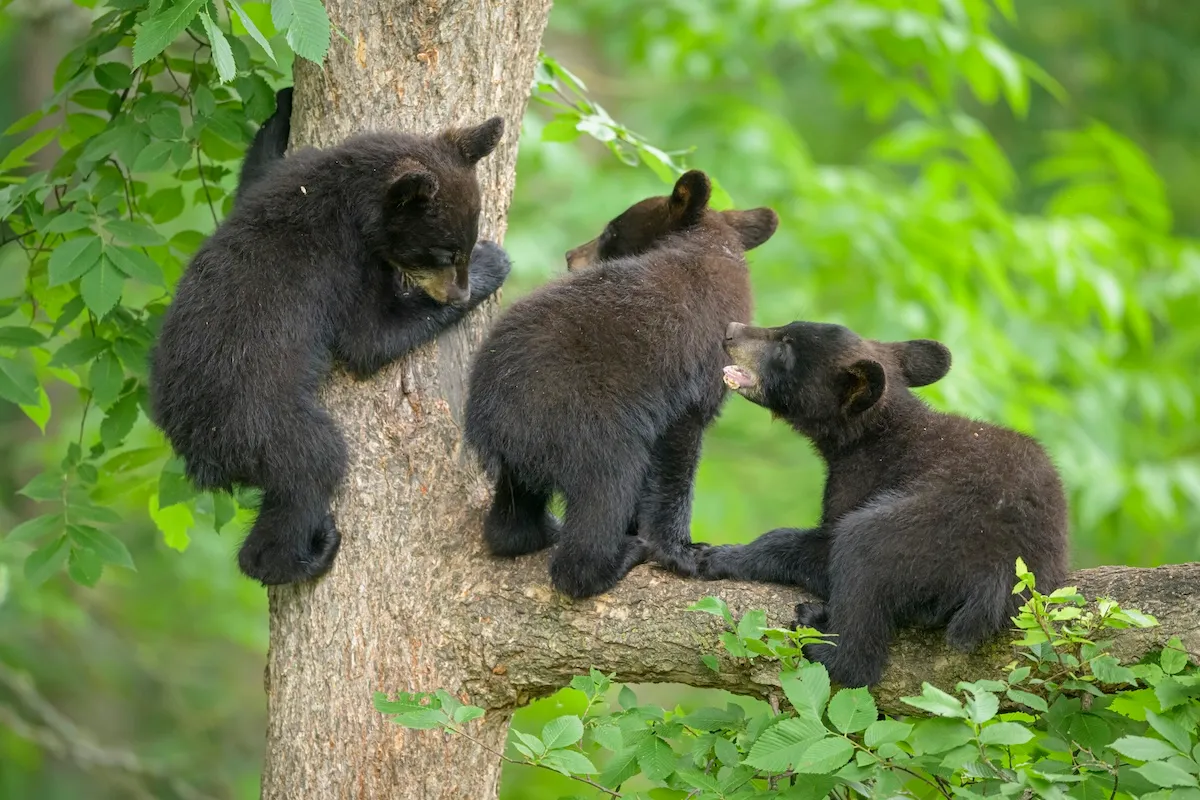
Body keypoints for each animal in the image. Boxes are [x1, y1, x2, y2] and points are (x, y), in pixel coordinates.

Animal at [149, 116, 512, 586]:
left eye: (461, 247)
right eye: (444, 252)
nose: (458, 293)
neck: (345, 191)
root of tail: (196, 451)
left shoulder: (282, 177)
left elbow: (253, 175)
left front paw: (279, 110)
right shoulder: (342, 263)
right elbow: (368, 338)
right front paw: (494, 264)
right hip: (261, 422)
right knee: (314, 465)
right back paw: (302, 556)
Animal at [463, 170, 779, 599]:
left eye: (611, 231)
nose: (570, 256)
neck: (711, 248)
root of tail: (491, 419)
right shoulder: (689, 380)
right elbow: (676, 461)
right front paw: (683, 551)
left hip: (526, 453)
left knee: (513, 515)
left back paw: (534, 533)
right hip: (589, 426)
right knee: (607, 490)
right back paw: (617, 556)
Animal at [698, 320, 1070, 687]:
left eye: (785, 345)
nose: (731, 330)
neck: (872, 433)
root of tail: (1002, 571)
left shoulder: (862, 477)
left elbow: (822, 548)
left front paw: (720, 555)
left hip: (929, 533)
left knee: (861, 560)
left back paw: (822, 636)